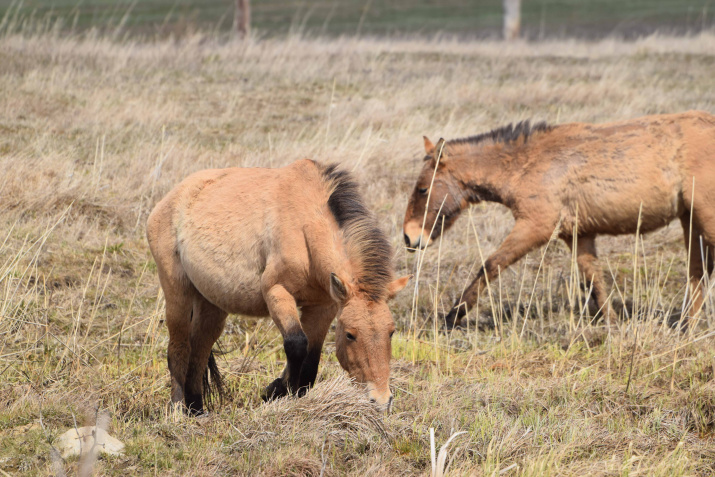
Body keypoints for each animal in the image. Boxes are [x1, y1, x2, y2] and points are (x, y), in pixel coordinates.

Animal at [145, 159, 408, 412]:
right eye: (350, 334)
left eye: (391, 332)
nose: (381, 401)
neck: (305, 228)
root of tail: (167, 201)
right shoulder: (277, 292)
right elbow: (296, 344)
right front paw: (278, 391)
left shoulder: (323, 307)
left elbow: (311, 357)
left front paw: (288, 393)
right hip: (176, 294)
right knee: (178, 349)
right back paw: (177, 410)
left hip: (212, 305)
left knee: (199, 351)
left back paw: (196, 409)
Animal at [402, 110, 715, 330]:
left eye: (423, 189)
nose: (408, 236)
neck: (526, 164)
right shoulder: (578, 235)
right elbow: (593, 281)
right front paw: (612, 325)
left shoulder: (536, 227)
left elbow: (490, 265)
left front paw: (452, 317)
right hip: (690, 221)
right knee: (698, 273)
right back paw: (687, 327)